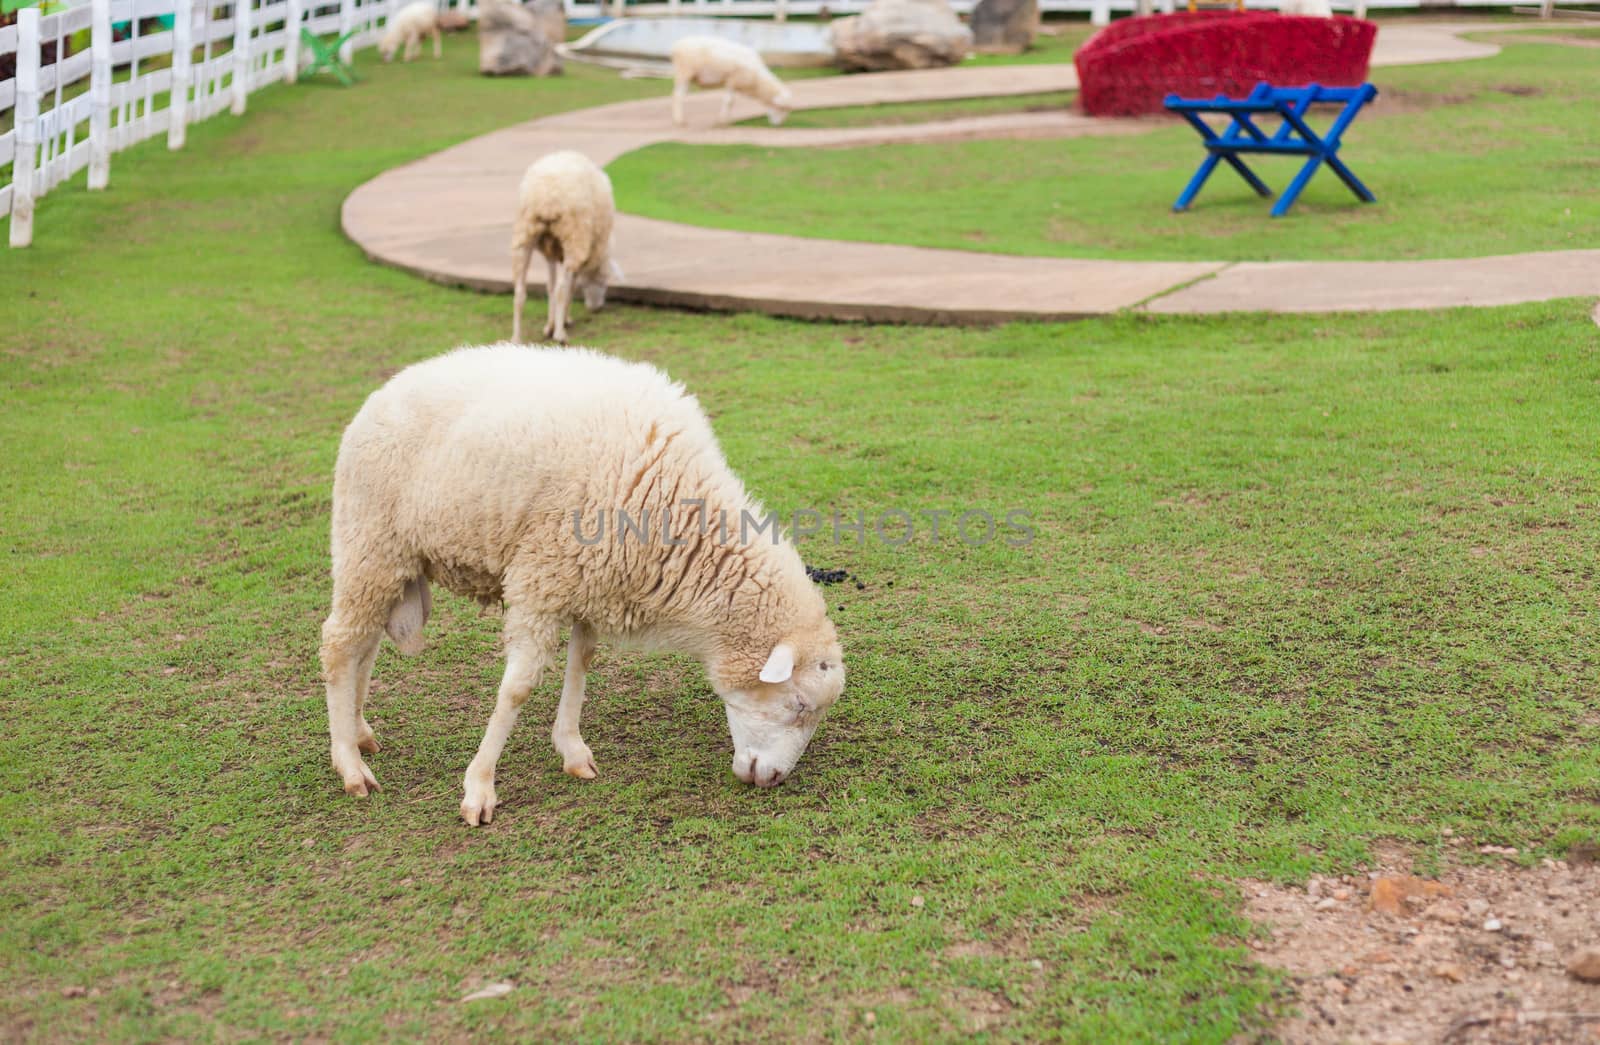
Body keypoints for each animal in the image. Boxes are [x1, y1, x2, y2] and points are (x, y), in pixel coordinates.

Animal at [323, 342, 851, 825]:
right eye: (799, 705)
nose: (774, 779)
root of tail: (382, 393)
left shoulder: (589, 580)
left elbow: (582, 663)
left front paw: (572, 749)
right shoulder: (541, 577)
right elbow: (517, 689)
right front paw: (479, 787)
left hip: (396, 565)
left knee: (365, 643)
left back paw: (360, 731)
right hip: (368, 541)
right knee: (339, 645)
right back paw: (349, 765)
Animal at [512, 149, 617, 342]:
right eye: (604, 279)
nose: (597, 309)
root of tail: (546, 199)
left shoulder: (550, 251)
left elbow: (550, 286)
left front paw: (550, 325)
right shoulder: (581, 250)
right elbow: (570, 286)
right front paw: (563, 321)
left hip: (524, 234)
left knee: (520, 291)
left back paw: (516, 338)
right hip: (572, 237)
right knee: (562, 288)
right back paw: (560, 335)